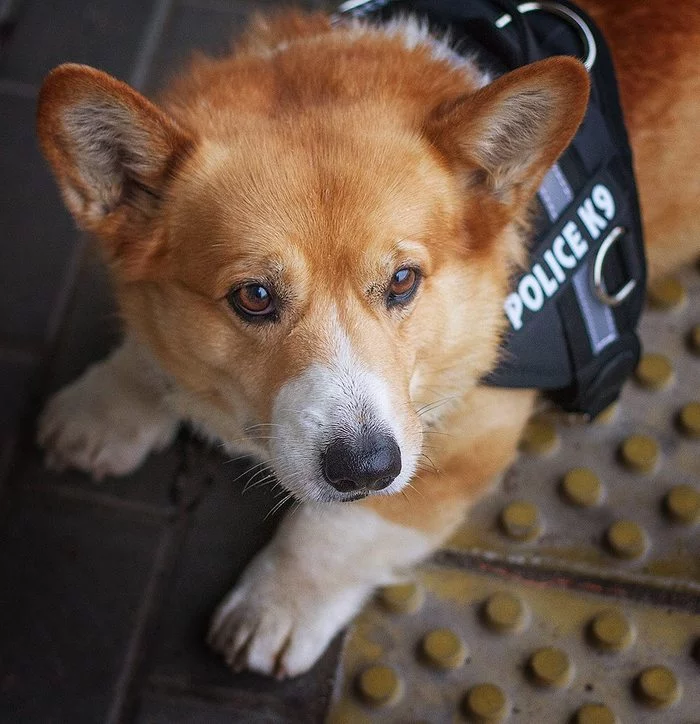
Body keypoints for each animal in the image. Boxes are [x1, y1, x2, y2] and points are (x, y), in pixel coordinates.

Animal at [34, 0, 700, 680]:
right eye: (254, 296)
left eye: (403, 281)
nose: (366, 467)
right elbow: (149, 356)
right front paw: (107, 408)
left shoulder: (467, 437)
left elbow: (339, 530)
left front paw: (276, 607)